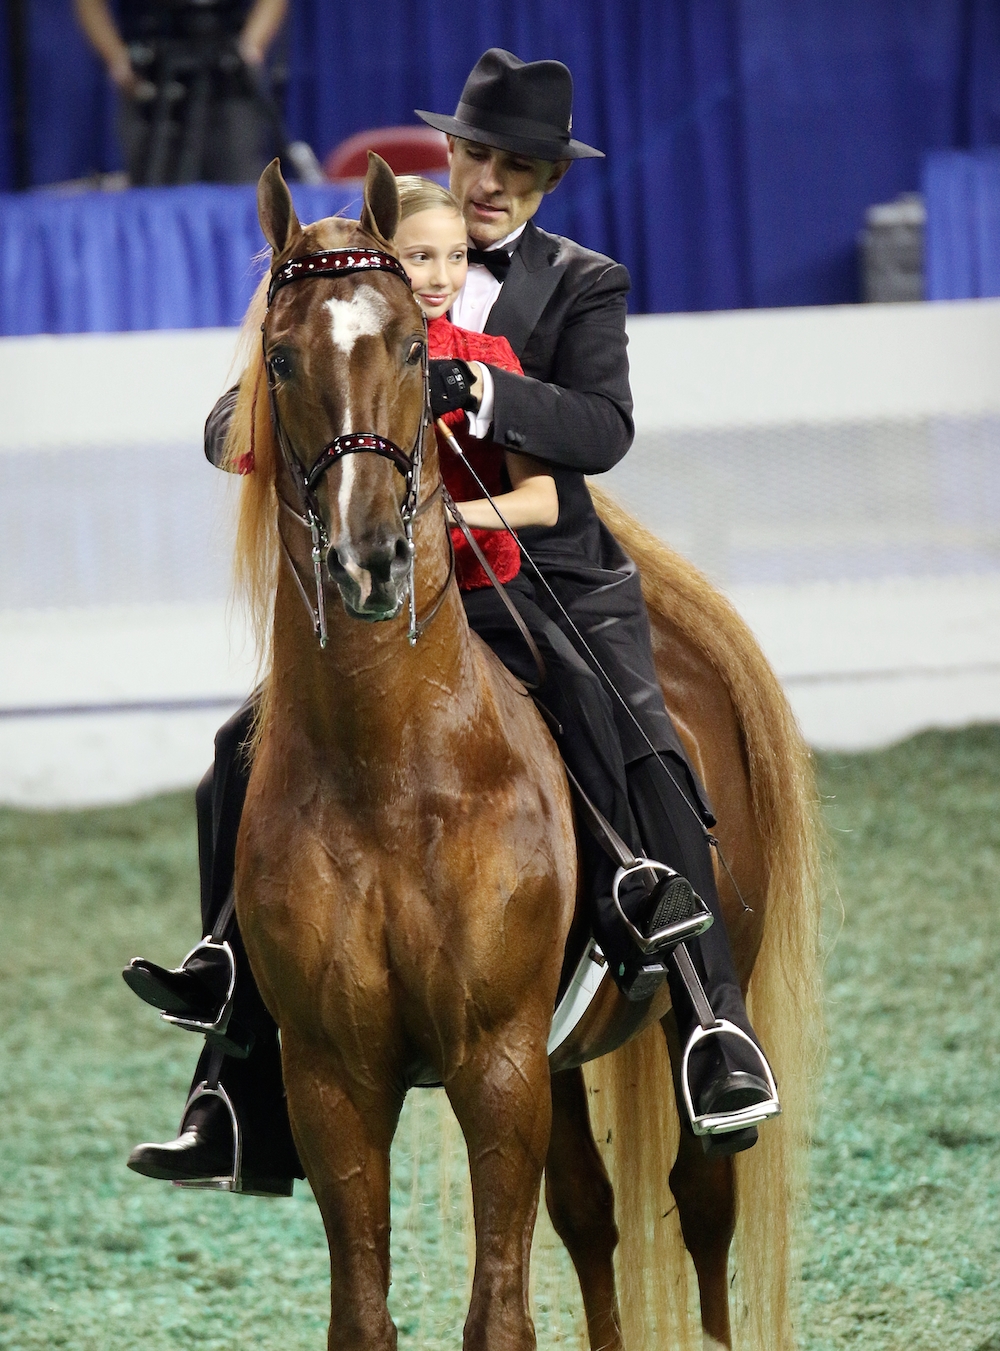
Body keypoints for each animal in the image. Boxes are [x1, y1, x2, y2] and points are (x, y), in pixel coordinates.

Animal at [231, 153, 821, 1345]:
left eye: (418, 353)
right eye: (281, 357)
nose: (369, 558)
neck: (389, 767)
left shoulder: (495, 1059)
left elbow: (498, 1316)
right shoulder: (332, 1077)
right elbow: (364, 1315)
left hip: (685, 1002)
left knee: (702, 1207)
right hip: (556, 1061)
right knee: (591, 1213)